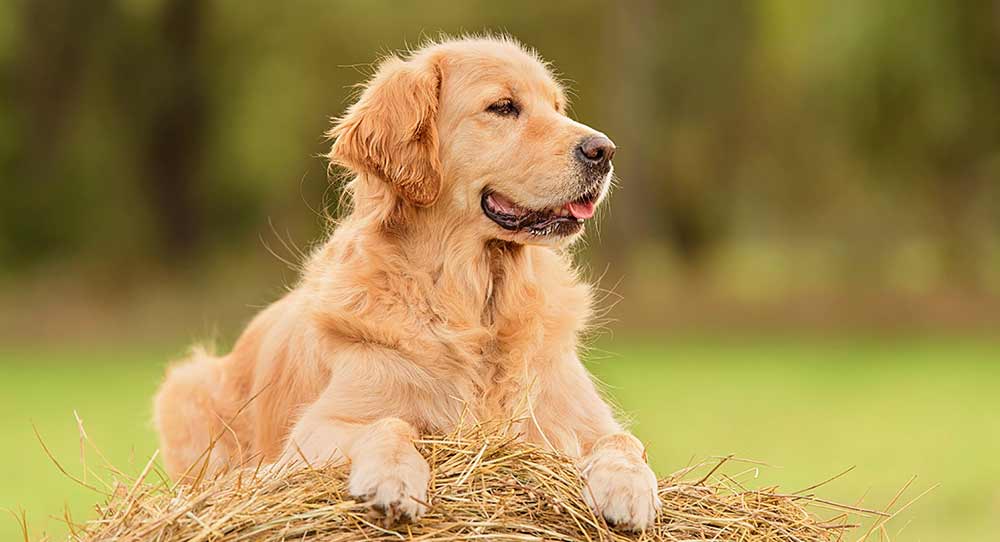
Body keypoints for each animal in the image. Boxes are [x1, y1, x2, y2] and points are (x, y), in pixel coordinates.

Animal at [152, 36, 660, 532]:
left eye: (557, 106)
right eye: (503, 107)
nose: (604, 150)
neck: (477, 303)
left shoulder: (578, 419)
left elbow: (623, 441)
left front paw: (628, 489)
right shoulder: (316, 429)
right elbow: (390, 426)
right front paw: (393, 478)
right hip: (186, 386)